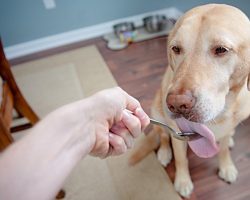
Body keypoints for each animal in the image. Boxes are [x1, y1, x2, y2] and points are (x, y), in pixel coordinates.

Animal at [130, 3, 250, 198]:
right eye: (176, 48)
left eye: (221, 49)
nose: (177, 104)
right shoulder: (178, 134)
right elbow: (181, 159)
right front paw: (183, 181)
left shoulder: (229, 125)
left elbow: (224, 149)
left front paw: (226, 167)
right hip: (156, 111)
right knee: (163, 135)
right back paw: (164, 153)